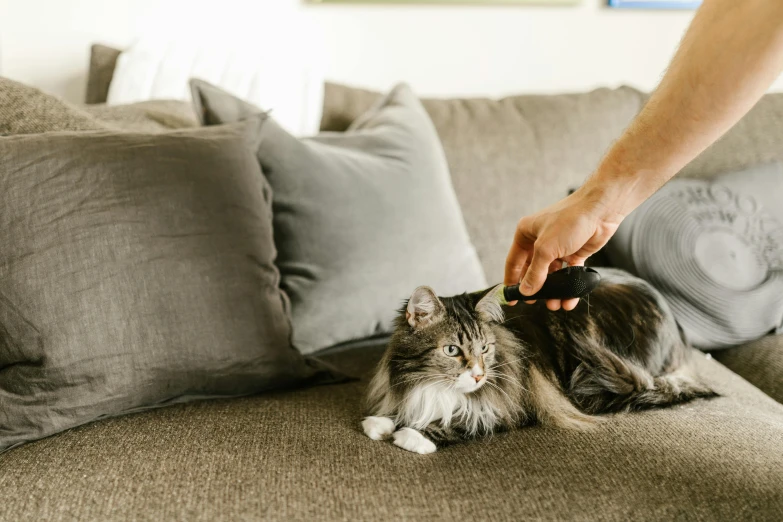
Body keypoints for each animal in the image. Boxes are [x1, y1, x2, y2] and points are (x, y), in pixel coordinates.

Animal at [362, 268, 716, 450]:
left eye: (485, 349)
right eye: (452, 350)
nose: (478, 375)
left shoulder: (515, 405)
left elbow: (463, 421)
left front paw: (412, 435)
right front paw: (381, 423)